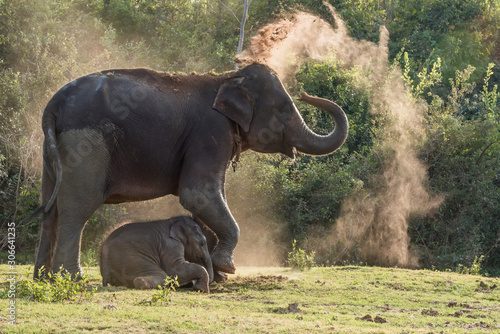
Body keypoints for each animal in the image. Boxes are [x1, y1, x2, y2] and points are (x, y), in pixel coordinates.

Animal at [34, 62, 348, 280]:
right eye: (284, 108)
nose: (306, 93)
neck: (226, 78)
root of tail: (53, 105)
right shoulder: (210, 132)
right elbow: (198, 195)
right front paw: (227, 268)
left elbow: (208, 200)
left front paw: (219, 276)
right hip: (86, 144)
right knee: (76, 209)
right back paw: (70, 279)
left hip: (53, 152)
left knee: (50, 210)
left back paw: (43, 279)